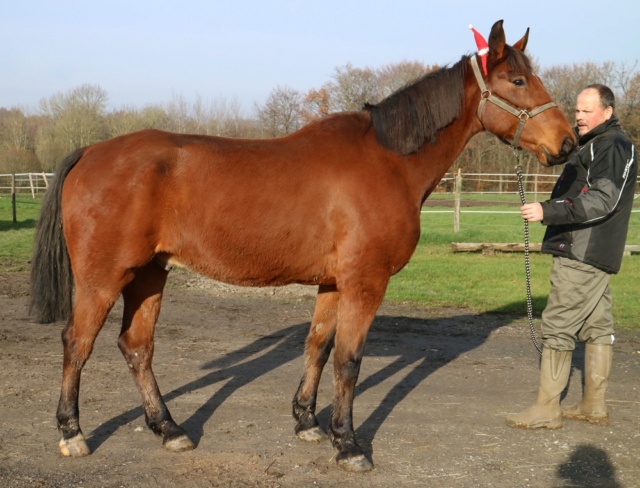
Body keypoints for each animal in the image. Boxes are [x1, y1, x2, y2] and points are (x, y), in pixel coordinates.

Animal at [28, 20, 576, 472]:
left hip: (149, 274)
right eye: (518, 81)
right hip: (103, 278)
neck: (387, 161)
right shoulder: (364, 283)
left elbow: (317, 346)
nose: (567, 143)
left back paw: (169, 429)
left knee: (137, 346)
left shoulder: (333, 283)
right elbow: (349, 360)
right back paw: (73, 433)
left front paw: (308, 422)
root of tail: (91, 152)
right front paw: (349, 444)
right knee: (77, 343)